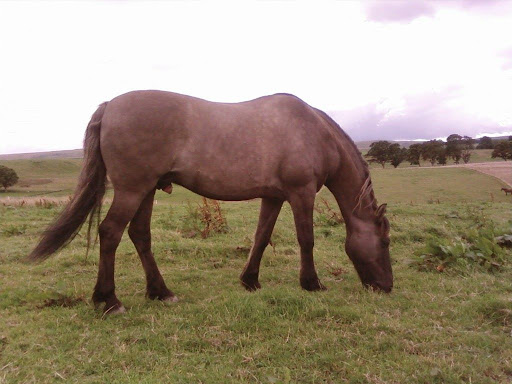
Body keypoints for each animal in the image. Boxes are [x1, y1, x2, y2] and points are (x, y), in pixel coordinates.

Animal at [29, 91, 392, 316]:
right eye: (386, 241)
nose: (386, 286)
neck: (315, 132)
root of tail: (110, 106)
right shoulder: (300, 193)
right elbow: (307, 239)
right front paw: (312, 283)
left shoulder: (273, 196)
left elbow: (261, 237)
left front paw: (250, 280)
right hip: (132, 189)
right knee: (110, 232)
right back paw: (108, 301)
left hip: (146, 191)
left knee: (139, 235)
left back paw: (161, 292)